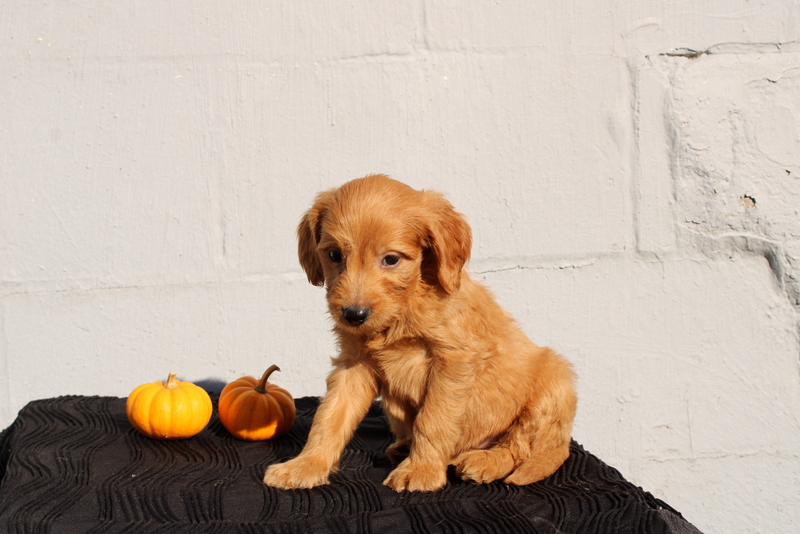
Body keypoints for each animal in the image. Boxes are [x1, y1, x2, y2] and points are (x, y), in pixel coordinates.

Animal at [266, 175, 580, 494]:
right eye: (334, 255)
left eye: (391, 259)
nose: (354, 315)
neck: (404, 308)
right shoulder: (354, 363)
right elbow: (330, 416)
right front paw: (306, 465)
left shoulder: (452, 361)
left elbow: (434, 419)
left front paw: (421, 470)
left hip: (554, 381)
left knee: (519, 446)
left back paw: (485, 461)